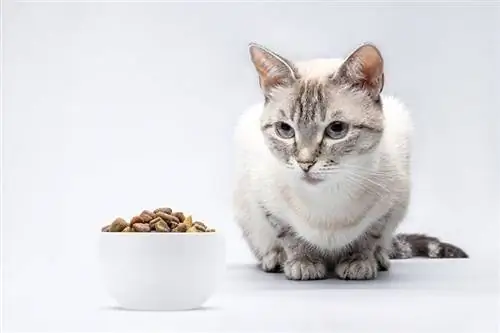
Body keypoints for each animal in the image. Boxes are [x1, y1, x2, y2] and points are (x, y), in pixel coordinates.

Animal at [232, 41, 466, 280]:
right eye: (285, 129)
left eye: (336, 129)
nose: (305, 163)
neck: (327, 198)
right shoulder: (267, 203)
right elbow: (289, 236)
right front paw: (303, 263)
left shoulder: (388, 205)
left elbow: (369, 236)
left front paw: (358, 262)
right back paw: (274, 260)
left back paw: (380, 259)